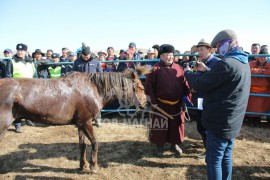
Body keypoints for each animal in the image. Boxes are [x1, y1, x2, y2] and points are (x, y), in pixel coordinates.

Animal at [0, 67, 150, 173]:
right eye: (141, 87)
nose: (145, 104)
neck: (92, 88)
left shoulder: (80, 124)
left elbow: (82, 145)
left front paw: (83, 165)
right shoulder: (86, 122)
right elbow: (95, 142)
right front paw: (94, 166)